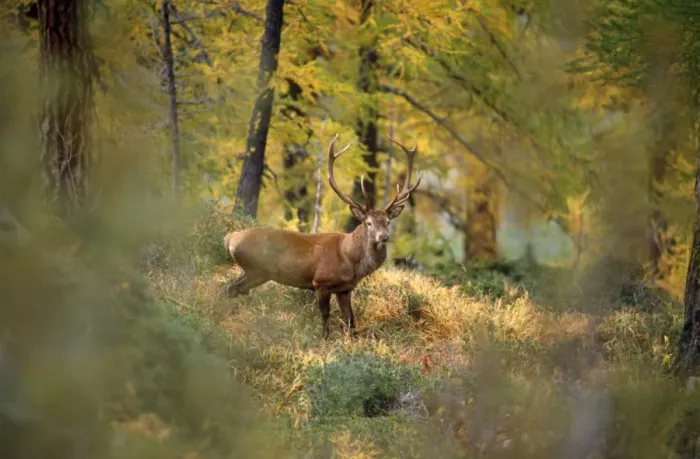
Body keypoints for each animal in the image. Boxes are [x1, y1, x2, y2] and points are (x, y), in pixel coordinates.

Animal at [222, 134, 422, 339]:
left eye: (388, 222)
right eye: (368, 223)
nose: (383, 237)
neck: (351, 260)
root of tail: (229, 238)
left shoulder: (345, 289)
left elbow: (351, 321)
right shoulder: (320, 283)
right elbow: (326, 317)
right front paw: (324, 340)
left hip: (250, 270)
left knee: (230, 288)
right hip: (258, 269)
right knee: (231, 289)